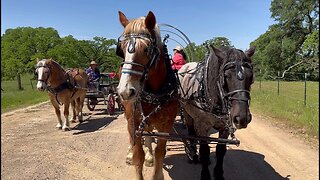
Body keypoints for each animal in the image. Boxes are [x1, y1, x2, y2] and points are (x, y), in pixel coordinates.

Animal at [116, 11, 179, 180]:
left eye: (146, 49)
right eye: (122, 49)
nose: (125, 91)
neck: (154, 93)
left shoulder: (166, 124)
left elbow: (160, 152)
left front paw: (156, 169)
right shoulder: (134, 122)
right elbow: (138, 155)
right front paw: (134, 155)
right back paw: (130, 154)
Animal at [178, 44, 255, 179]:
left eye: (250, 77)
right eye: (226, 76)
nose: (242, 118)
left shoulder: (225, 127)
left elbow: (220, 150)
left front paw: (218, 173)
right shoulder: (201, 125)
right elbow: (204, 150)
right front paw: (205, 174)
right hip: (187, 113)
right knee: (191, 132)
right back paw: (193, 154)